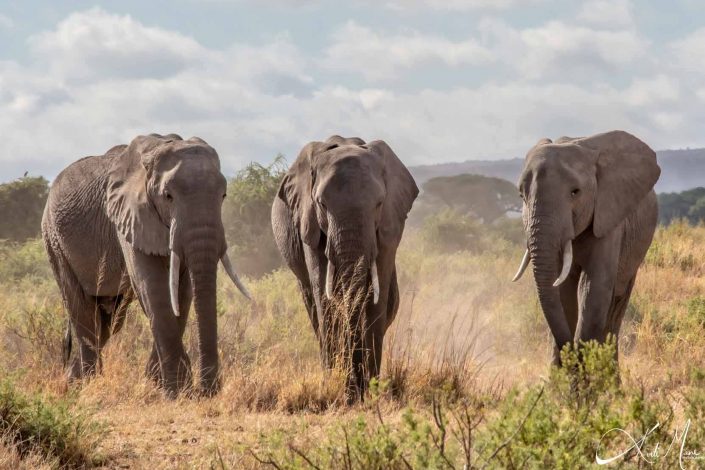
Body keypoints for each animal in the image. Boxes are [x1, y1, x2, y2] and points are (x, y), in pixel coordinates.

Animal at [40, 133, 250, 396]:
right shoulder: (128, 217)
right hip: (54, 241)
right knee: (83, 312)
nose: (208, 391)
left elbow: (182, 293)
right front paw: (175, 392)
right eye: (168, 196)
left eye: (223, 196)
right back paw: (85, 386)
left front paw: (160, 384)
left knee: (106, 322)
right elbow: (153, 289)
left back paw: (72, 382)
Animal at [272, 134, 418, 398]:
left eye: (379, 203)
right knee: (313, 307)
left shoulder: (389, 226)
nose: (356, 388)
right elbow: (324, 296)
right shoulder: (309, 223)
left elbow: (377, 299)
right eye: (321, 204)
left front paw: (369, 391)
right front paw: (342, 387)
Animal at [512, 130, 660, 366]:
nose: (570, 356)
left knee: (617, 302)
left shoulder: (609, 217)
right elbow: (561, 290)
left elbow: (594, 287)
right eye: (521, 195)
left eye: (575, 192)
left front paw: (585, 372)